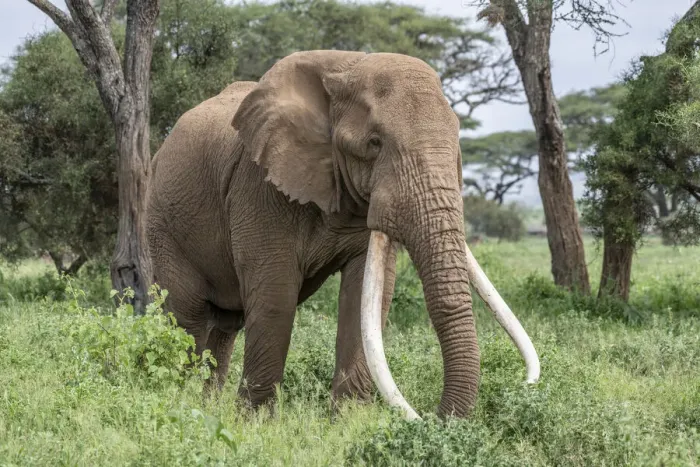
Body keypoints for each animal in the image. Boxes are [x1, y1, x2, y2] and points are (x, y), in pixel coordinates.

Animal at [146, 50, 539, 419]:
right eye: (375, 143)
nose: (434, 417)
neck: (347, 67)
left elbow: (364, 298)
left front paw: (348, 422)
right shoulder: (258, 186)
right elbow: (275, 293)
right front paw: (255, 423)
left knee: (226, 326)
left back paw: (207, 407)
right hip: (163, 225)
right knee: (189, 317)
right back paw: (178, 404)